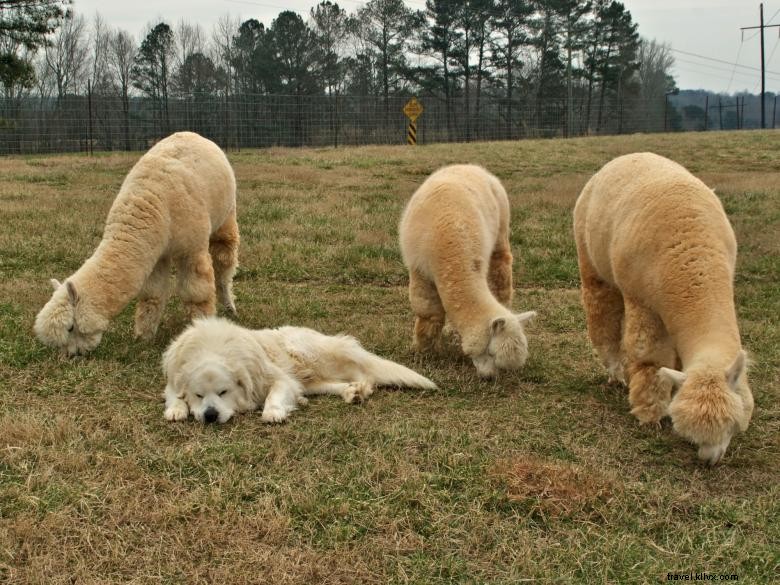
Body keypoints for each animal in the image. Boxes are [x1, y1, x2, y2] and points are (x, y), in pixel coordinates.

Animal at [163, 318, 438, 422]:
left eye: (223, 392)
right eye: (199, 395)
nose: (210, 415)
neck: (213, 348)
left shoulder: (278, 379)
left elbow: (274, 396)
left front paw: (273, 412)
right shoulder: (173, 378)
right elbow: (173, 394)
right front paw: (177, 409)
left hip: (306, 352)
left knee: (365, 371)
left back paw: (361, 386)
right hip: (310, 379)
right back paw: (352, 392)